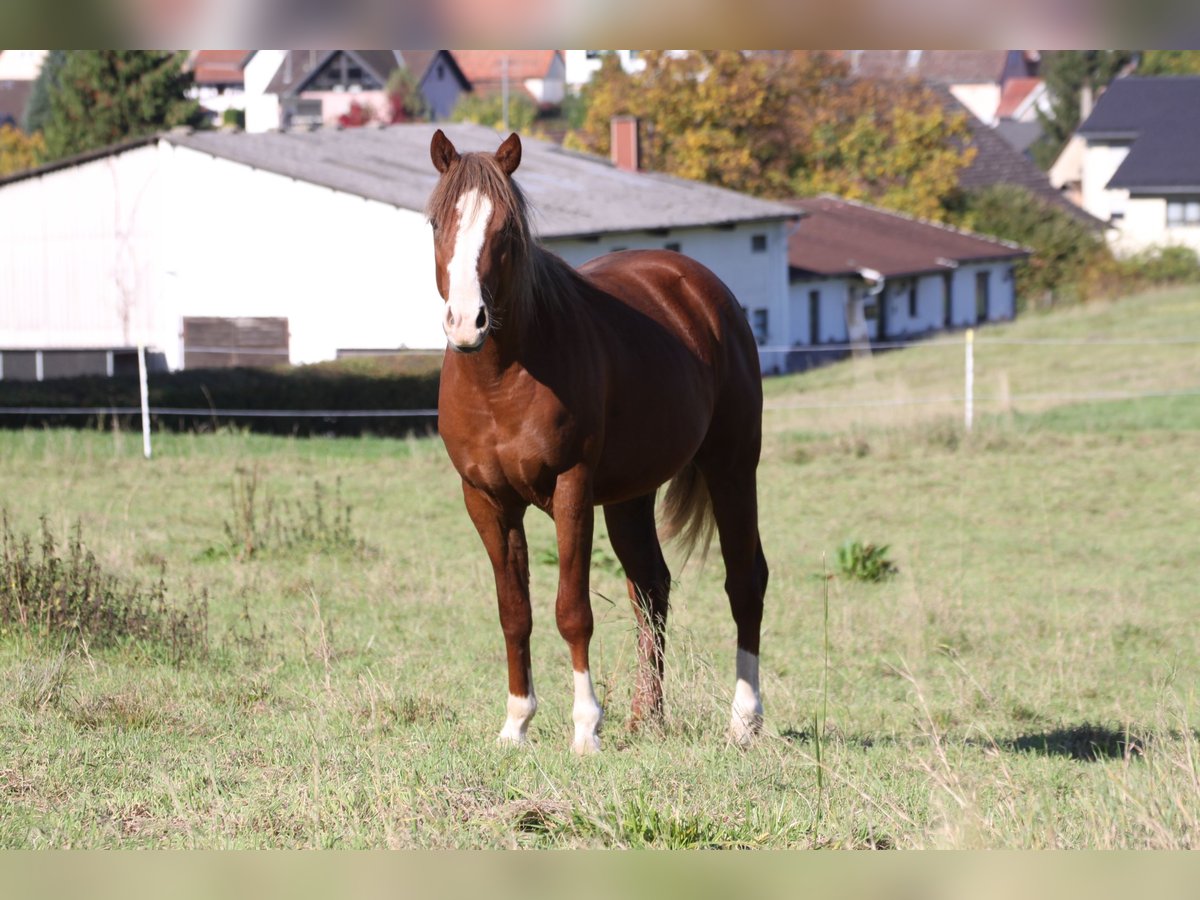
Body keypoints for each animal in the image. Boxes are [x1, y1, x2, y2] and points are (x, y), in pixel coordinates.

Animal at [432, 130, 768, 758]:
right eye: (439, 222)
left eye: (505, 230)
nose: (467, 322)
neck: (500, 379)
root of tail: (701, 287)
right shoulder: (486, 501)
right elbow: (514, 612)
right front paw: (515, 723)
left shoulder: (571, 490)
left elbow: (572, 610)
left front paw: (586, 726)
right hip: (630, 497)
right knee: (652, 589)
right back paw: (647, 717)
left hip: (732, 467)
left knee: (745, 579)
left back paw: (744, 720)